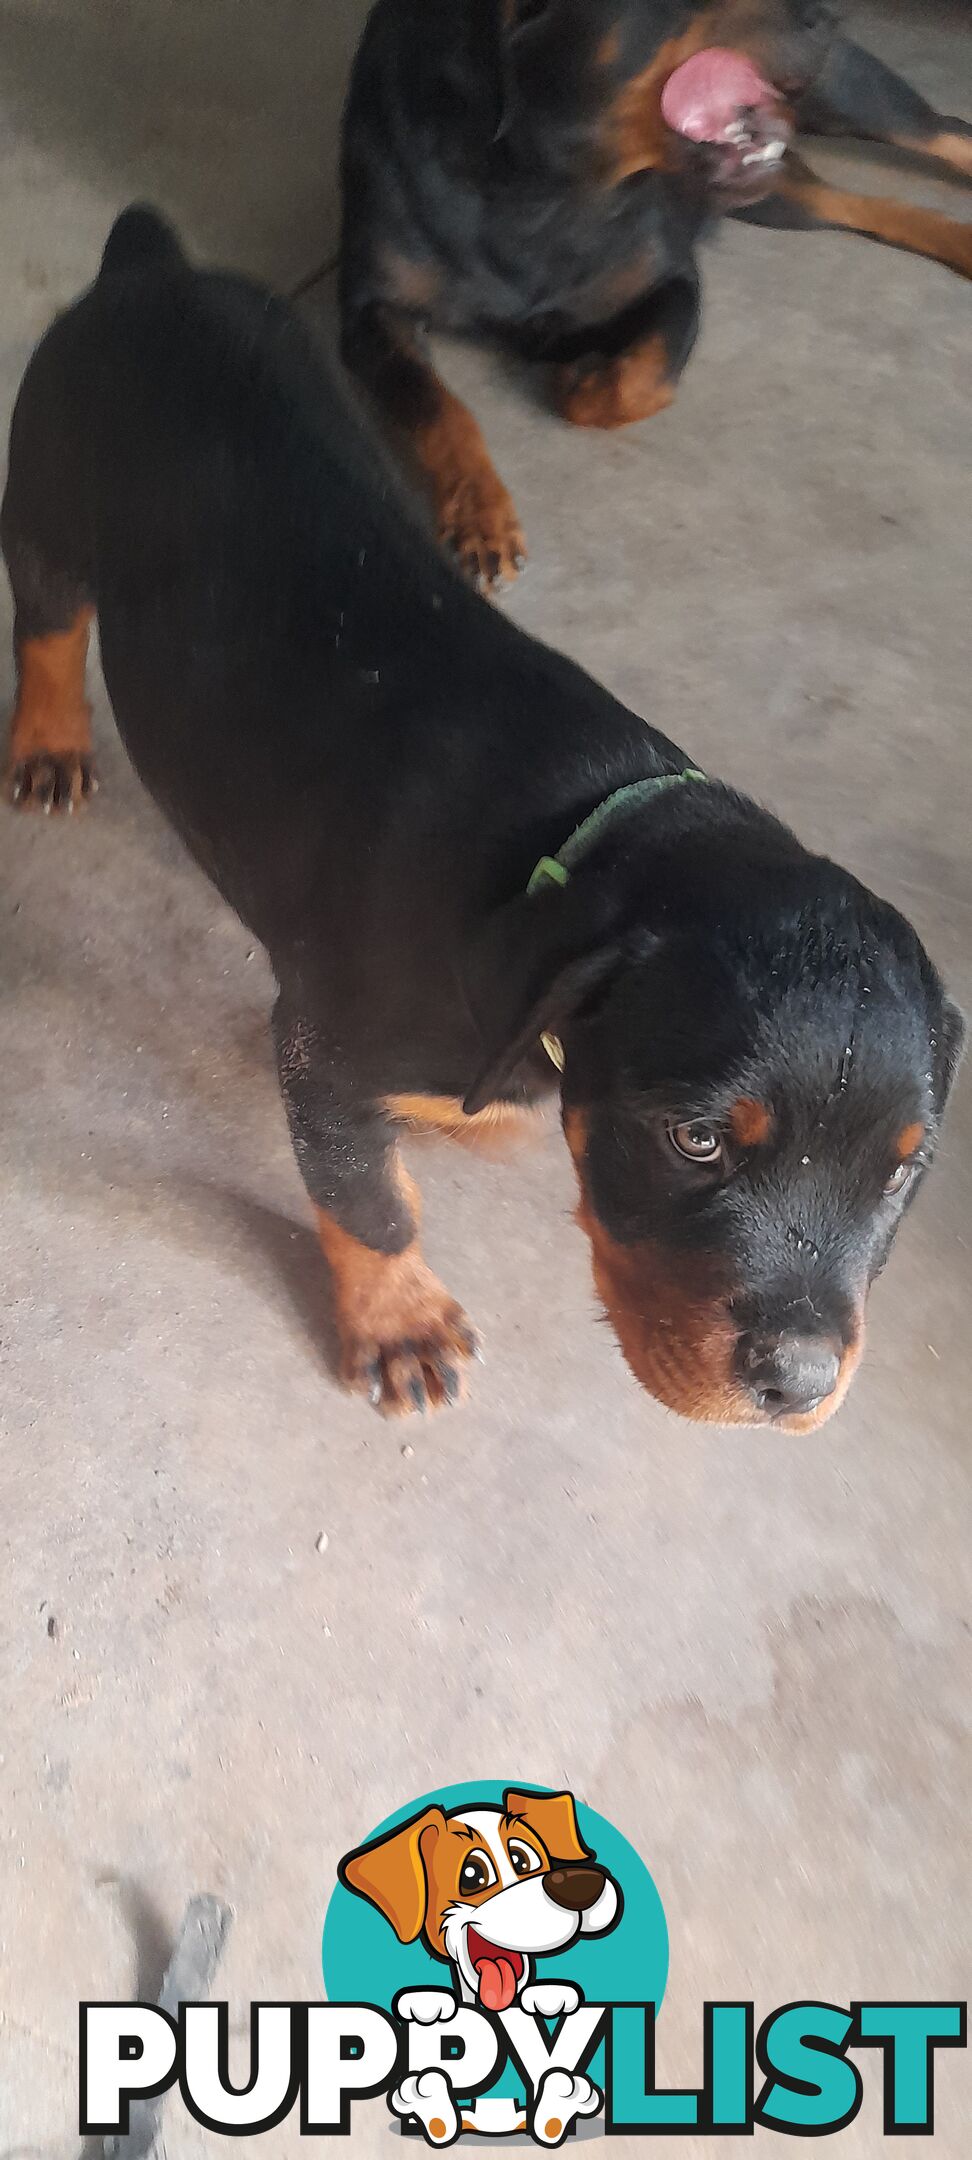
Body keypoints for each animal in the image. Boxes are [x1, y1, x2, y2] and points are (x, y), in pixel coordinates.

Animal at [3, 210, 963, 1425]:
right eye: (695, 1140)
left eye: (903, 1170)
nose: (798, 1387)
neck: (579, 839)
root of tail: (150, 269)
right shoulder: (322, 1051)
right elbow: (367, 1198)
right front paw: (399, 1321)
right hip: (43, 490)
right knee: (46, 622)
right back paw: (47, 739)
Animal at [339, 0, 972, 583]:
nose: (824, 16)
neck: (543, 188)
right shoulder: (371, 311)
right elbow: (439, 408)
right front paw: (479, 511)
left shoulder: (672, 281)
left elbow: (642, 380)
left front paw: (580, 378)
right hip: (769, 194)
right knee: (849, 203)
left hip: (849, 95)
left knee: (944, 130)